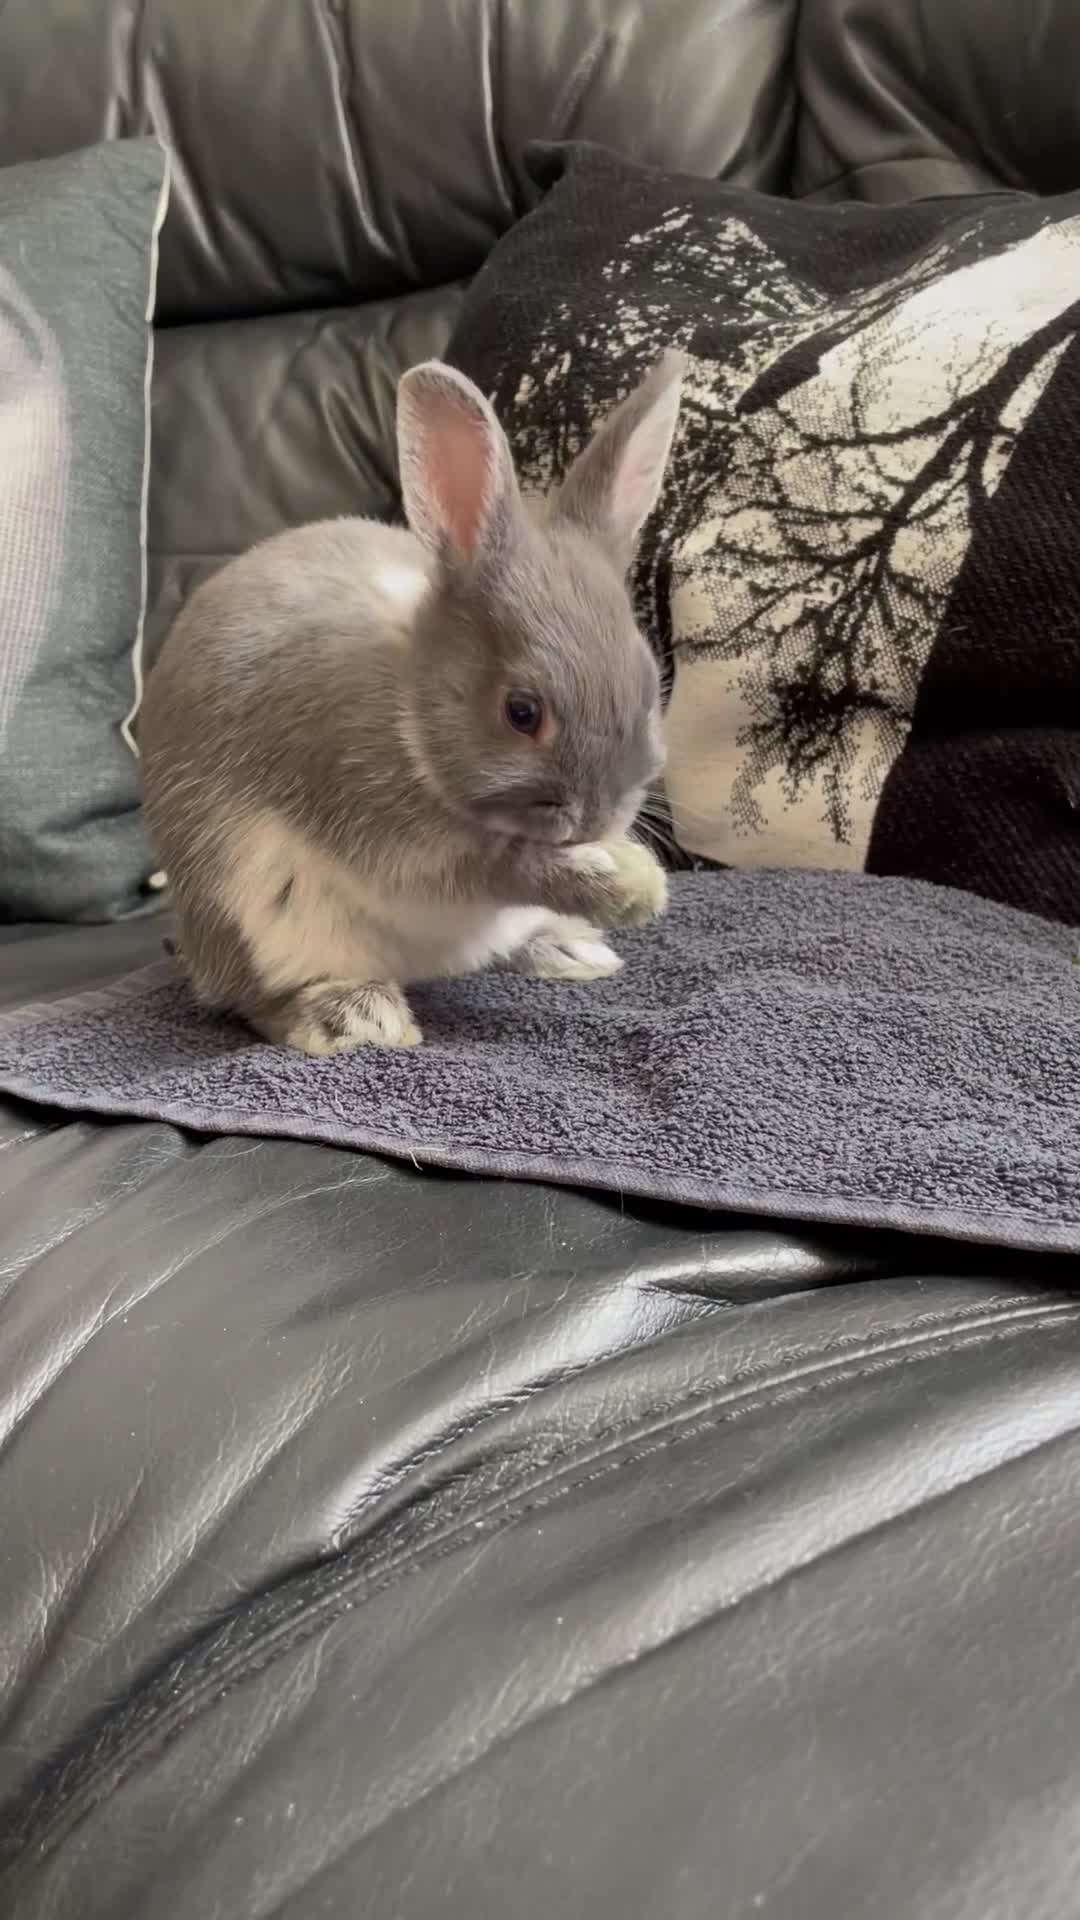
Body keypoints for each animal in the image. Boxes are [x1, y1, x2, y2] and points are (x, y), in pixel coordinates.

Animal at [138, 351, 684, 1055]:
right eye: (521, 713)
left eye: (649, 691)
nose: (597, 819)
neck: (413, 711)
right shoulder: (381, 822)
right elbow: (494, 865)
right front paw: (604, 878)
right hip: (253, 915)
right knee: (256, 999)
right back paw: (354, 1016)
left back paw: (569, 950)